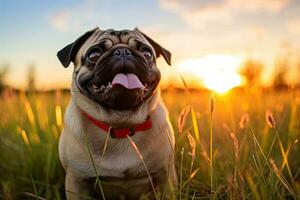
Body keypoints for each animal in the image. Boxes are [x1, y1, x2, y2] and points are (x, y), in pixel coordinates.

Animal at [56, 27, 176, 200]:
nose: (123, 51)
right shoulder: (77, 180)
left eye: (147, 53)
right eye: (94, 55)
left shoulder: (165, 176)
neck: (122, 126)